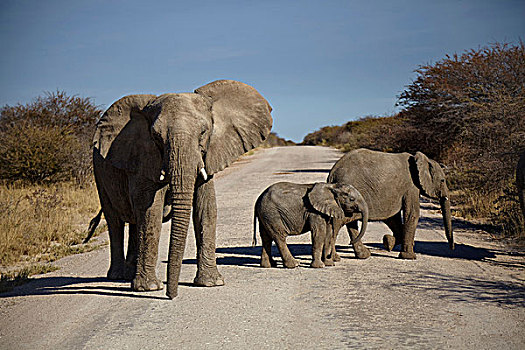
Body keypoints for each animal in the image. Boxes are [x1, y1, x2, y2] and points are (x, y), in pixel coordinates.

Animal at [92, 80, 272, 298]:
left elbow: (206, 208)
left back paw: (128, 276)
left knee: (134, 222)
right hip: (99, 172)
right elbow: (150, 212)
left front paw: (211, 283)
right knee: (115, 221)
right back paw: (119, 276)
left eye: (203, 132)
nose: (172, 295)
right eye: (155, 136)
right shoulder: (145, 156)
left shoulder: (208, 155)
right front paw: (149, 288)